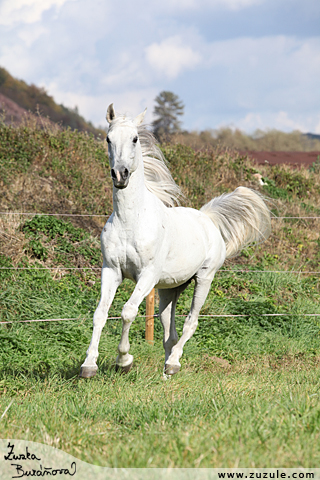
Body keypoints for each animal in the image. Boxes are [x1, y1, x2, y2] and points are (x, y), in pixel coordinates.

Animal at [79, 105, 270, 378]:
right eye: (108, 139)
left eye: (135, 139)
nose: (120, 175)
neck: (131, 222)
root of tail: (207, 219)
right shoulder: (111, 270)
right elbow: (100, 313)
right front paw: (88, 365)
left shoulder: (147, 275)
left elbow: (128, 311)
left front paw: (124, 361)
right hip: (170, 288)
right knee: (169, 329)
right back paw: (166, 370)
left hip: (204, 278)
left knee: (191, 322)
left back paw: (173, 363)